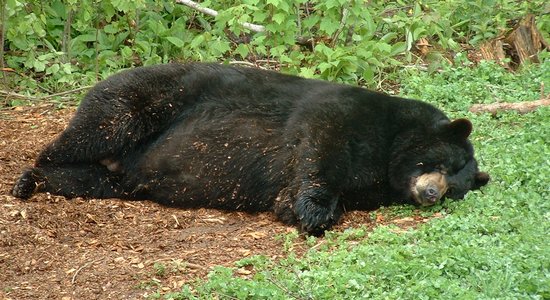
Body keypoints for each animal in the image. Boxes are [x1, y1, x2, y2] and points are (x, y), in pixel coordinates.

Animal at [10, 62, 490, 234]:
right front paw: (312, 209)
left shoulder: (369, 182)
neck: (389, 152)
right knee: (91, 131)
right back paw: (28, 174)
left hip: (119, 179)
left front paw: (293, 207)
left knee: (88, 178)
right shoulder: (346, 113)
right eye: (442, 162)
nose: (432, 192)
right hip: (142, 100)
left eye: (456, 188)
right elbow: (320, 147)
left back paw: (37, 181)